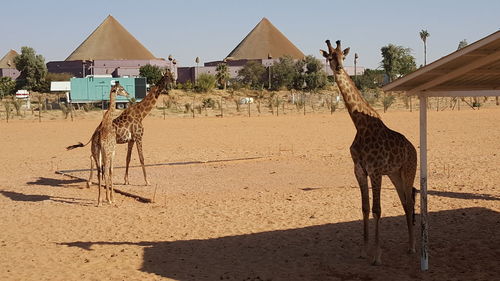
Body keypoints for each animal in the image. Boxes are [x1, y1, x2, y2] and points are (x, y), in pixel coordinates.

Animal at [320, 40, 418, 264]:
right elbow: (365, 208)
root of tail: (413, 149)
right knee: (404, 202)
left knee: (409, 202)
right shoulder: (359, 170)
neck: (360, 124)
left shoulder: (375, 170)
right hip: (394, 174)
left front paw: (377, 255)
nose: (339, 67)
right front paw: (364, 251)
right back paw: (409, 245)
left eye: (343, 56)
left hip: (408, 171)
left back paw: (412, 247)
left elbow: (377, 210)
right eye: (329, 57)